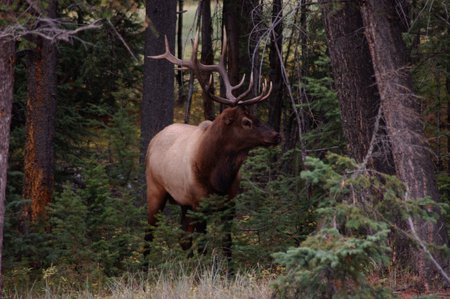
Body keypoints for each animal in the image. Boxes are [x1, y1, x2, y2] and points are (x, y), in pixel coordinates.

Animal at [144, 31, 280, 266]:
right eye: (246, 122)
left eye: (257, 117)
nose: (276, 135)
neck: (218, 176)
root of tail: (153, 140)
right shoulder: (200, 203)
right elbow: (204, 246)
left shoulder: (229, 203)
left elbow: (227, 245)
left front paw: (228, 270)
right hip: (155, 190)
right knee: (149, 236)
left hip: (183, 203)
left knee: (183, 239)